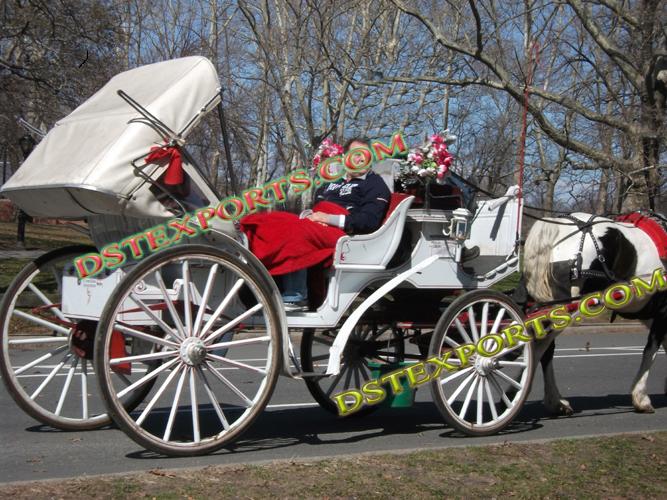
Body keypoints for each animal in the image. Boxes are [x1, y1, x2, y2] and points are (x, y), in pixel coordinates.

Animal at [524, 211, 664, 414]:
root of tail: (557, 226)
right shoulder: (662, 312)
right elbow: (650, 352)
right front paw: (641, 398)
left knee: (546, 349)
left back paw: (555, 401)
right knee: (539, 347)